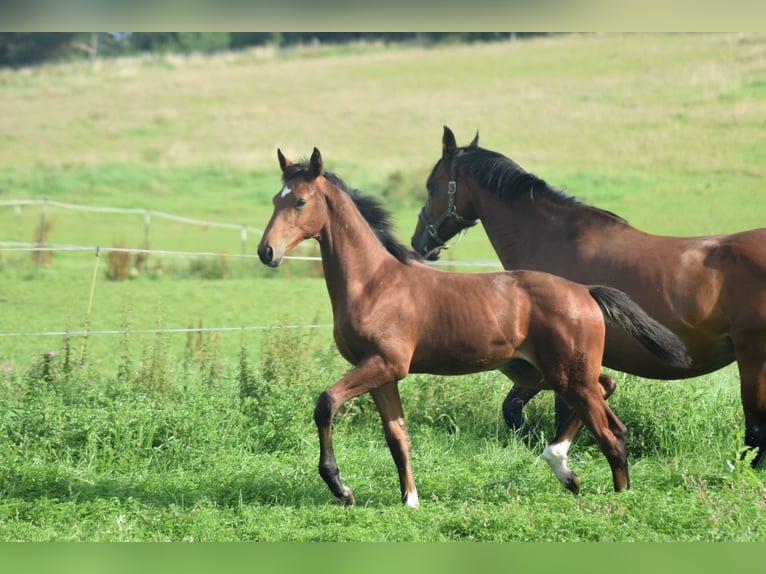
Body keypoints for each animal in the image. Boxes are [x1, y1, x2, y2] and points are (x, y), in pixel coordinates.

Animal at [260, 146, 692, 506]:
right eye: (274, 199)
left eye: (299, 201)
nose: (267, 252)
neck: (374, 282)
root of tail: (585, 291)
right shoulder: (383, 374)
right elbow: (398, 437)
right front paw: (409, 500)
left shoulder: (384, 364)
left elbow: (326, 403)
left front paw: (341, 488)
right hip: (545, 372)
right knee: (609, 397)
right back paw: (568, 473)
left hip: (567, 376)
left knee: (611, 436)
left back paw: (607, 496)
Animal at [414, 125, 766, 468]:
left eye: (431, 186)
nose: (419, 242)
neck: (550, 237)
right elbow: (520, 408)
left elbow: (543, 411)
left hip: (753, 359)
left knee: (756, 429)